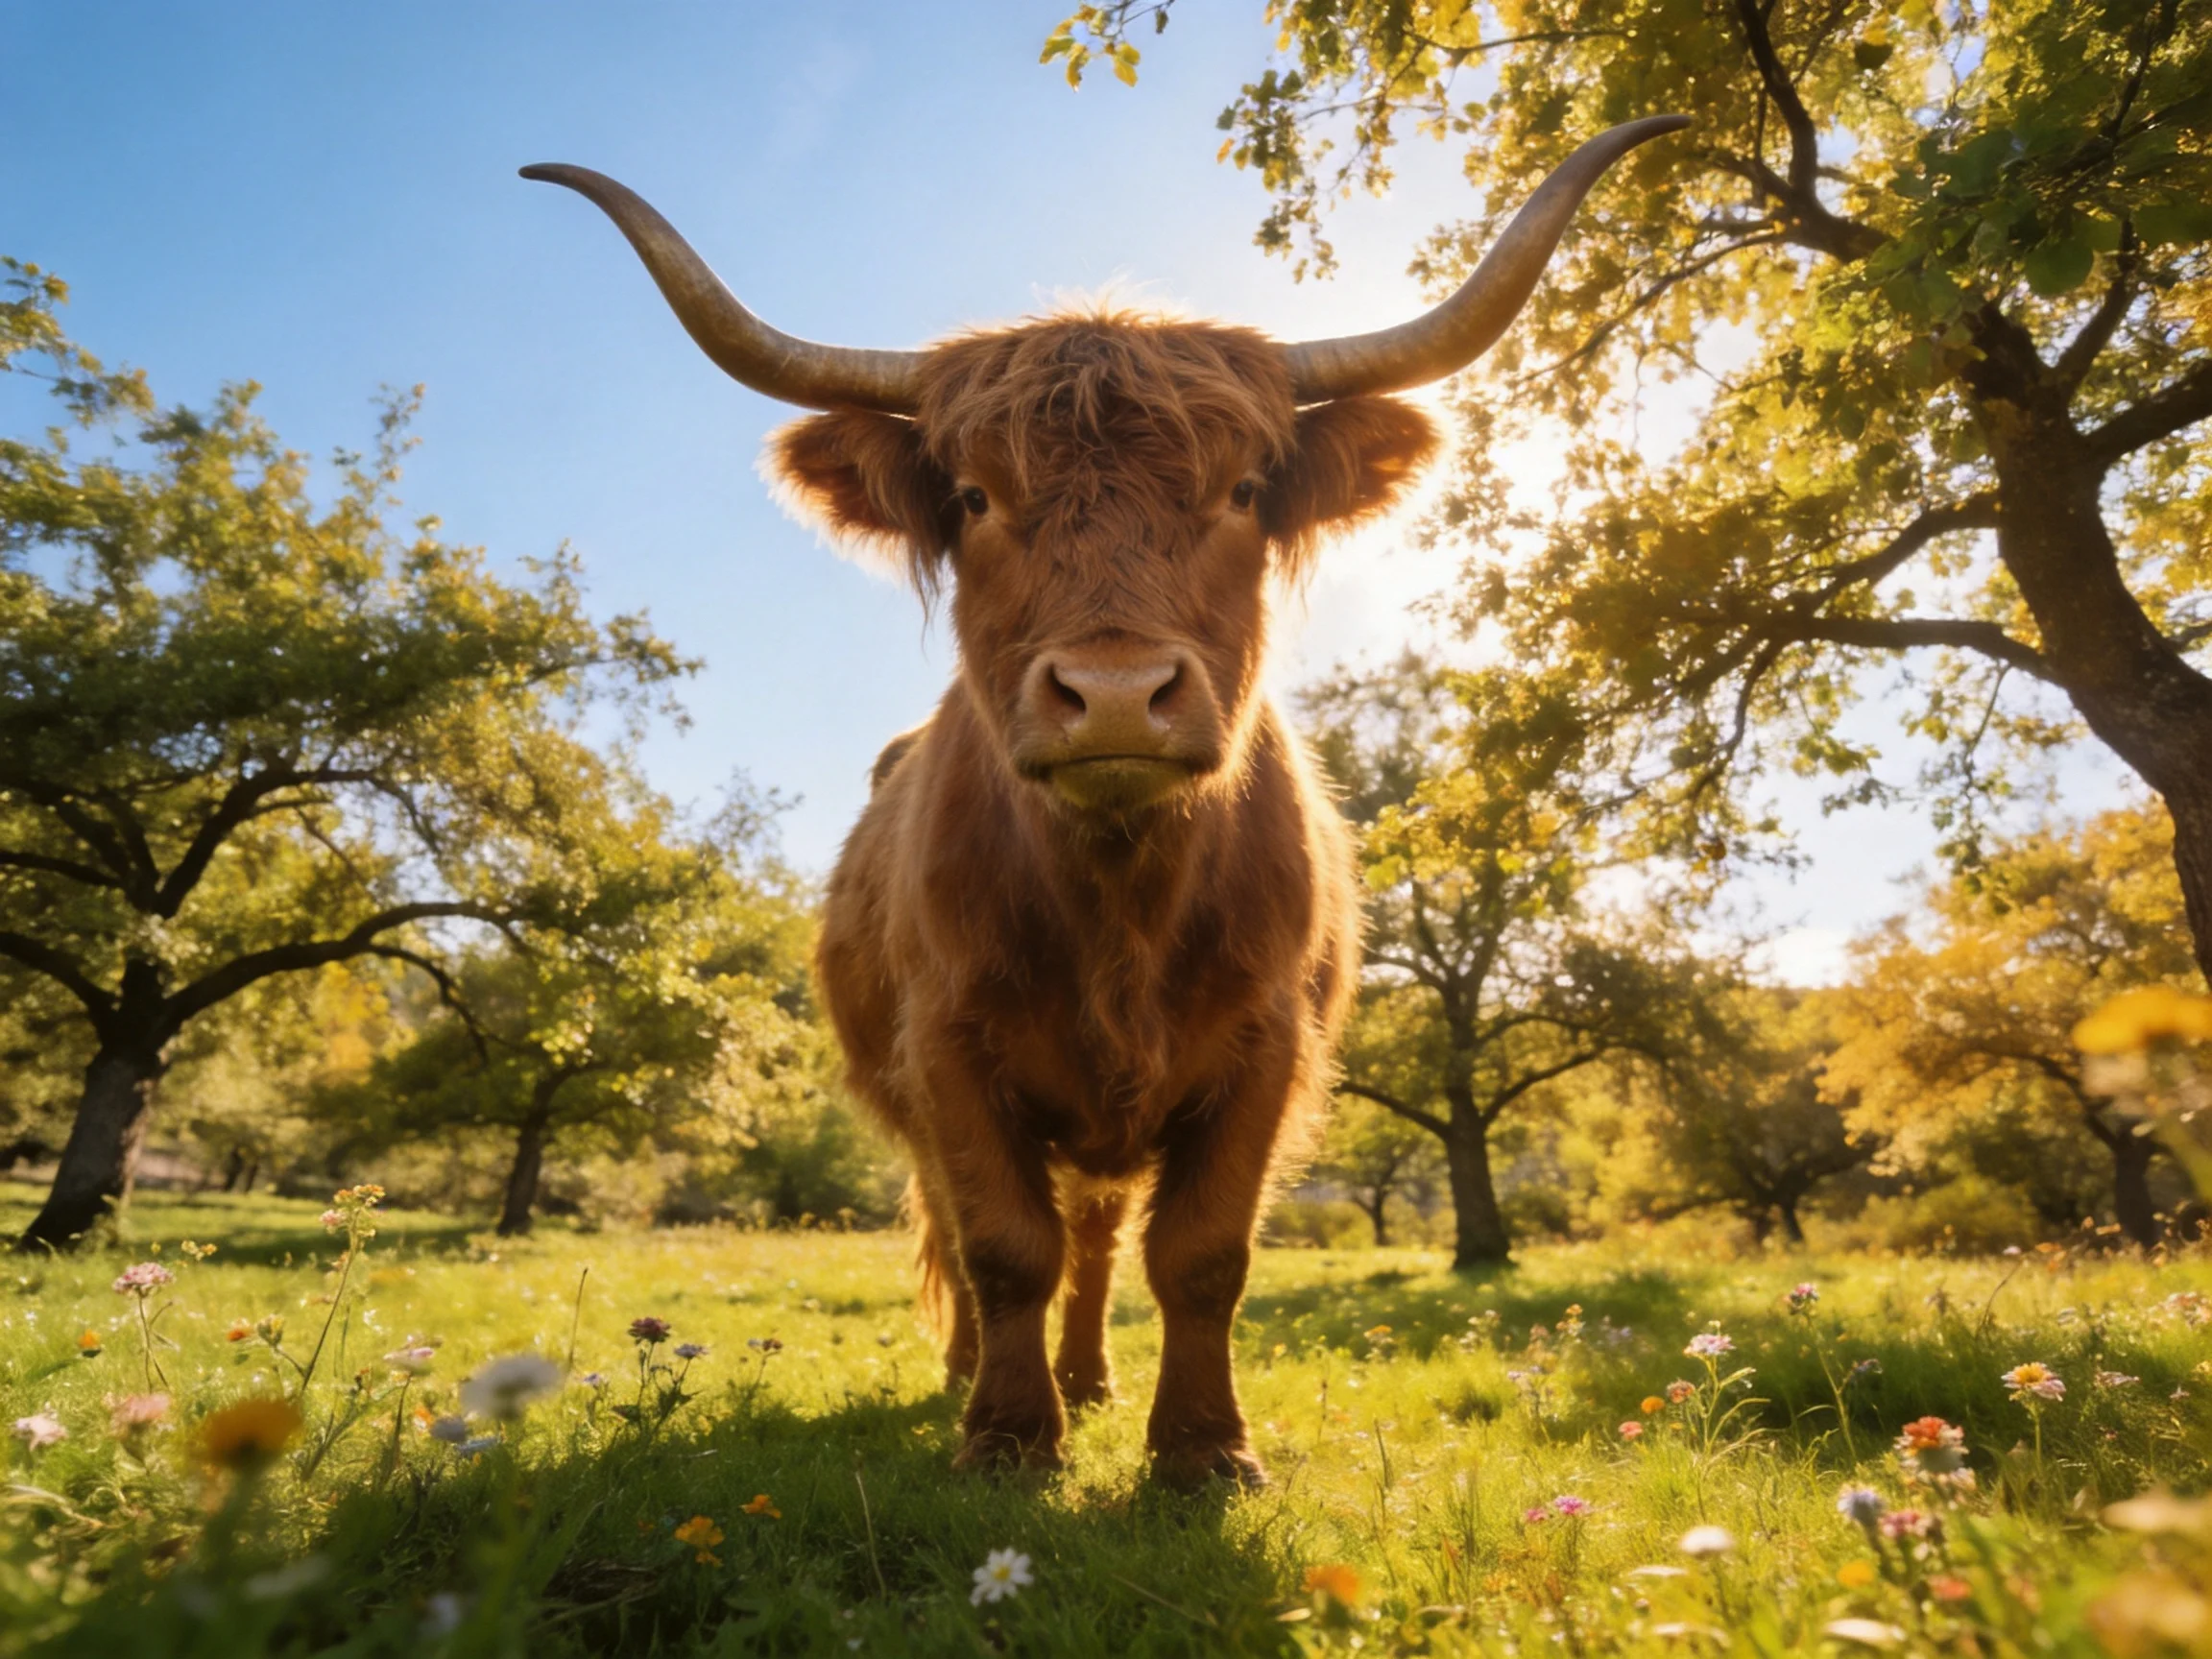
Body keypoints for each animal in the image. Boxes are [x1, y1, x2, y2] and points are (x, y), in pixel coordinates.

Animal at [522, 115, 1686, 1487]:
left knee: (1097, 1237)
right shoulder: (951, 1051)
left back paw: (1088, 1377)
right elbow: (1001, 1244)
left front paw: (1199, 1452)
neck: (1120, 896)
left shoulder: (1264, 1052)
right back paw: (984, 1376)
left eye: (1242, 491)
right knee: (986, 1235)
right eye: (975, 498)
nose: (1119, 695)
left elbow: (1200, 1256)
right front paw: (1007, 1438)